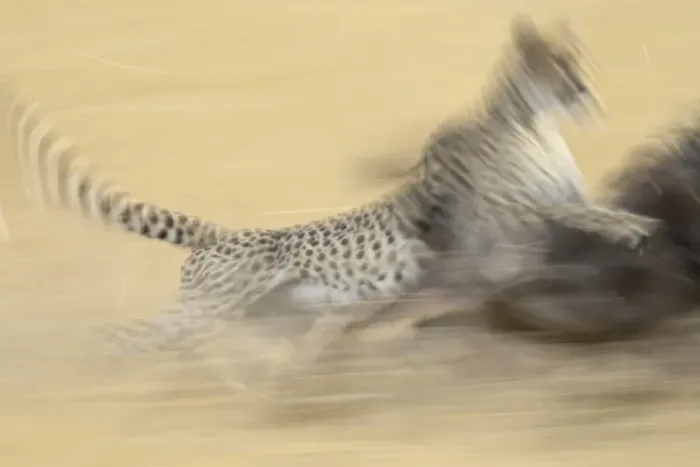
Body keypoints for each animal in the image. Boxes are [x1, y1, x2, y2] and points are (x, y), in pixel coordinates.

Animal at [3, 15, 660, 369]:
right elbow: (567, 209)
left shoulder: (514, 230)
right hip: (210, 308)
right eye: (554, 64)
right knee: (128, 340)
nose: (586, 93)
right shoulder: (493, 227)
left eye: (578, 62)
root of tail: (223, 232)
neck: (534, 121)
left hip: (258, 313)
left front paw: (634, 220)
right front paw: (629, 227)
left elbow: (588, 202)